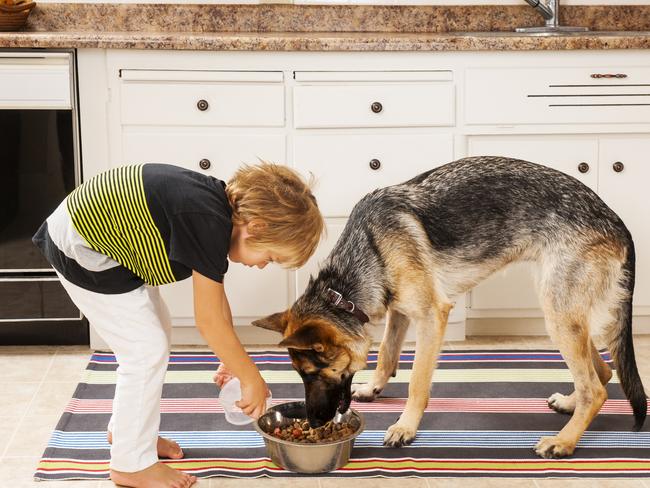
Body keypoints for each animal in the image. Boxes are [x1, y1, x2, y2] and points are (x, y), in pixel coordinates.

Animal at [249, 155, 644, 458]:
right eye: (300, 375)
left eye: (313, 373)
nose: (315, 423)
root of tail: (617, 221)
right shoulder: (399, 311)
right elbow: (387, 354)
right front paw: (374, 388)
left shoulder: (431, 316)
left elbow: (416, 382)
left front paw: (405, 426)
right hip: (564, 312)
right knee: (602, 372)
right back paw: (569, 405)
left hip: (557, 313)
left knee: (596, 388)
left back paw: (564, 441)